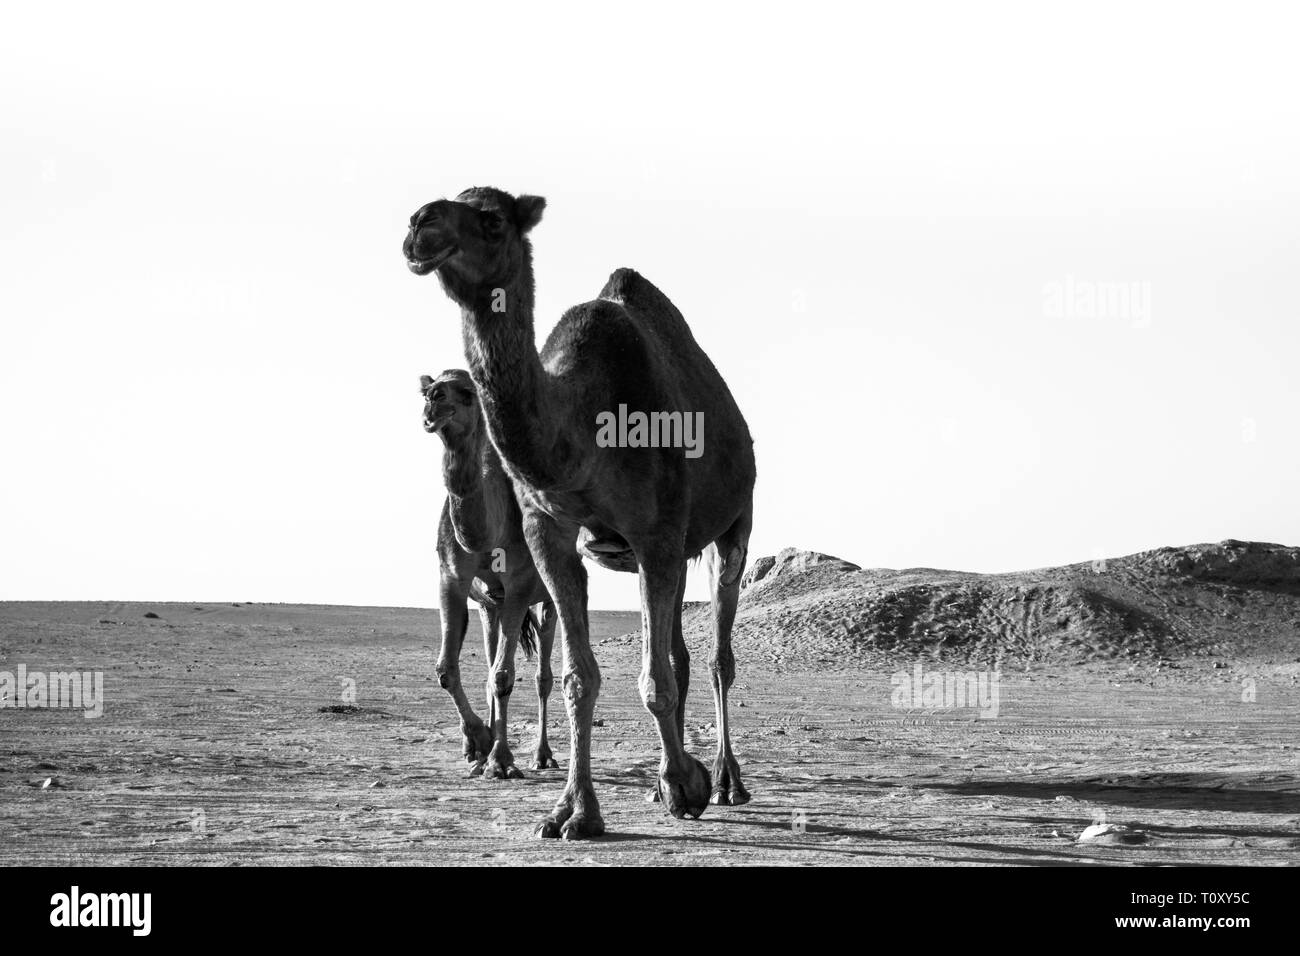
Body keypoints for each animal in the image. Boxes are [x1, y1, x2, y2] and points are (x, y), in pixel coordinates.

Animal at [420, 368, 559, 778]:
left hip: (546, 599)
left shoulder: (519, 586)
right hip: (488, 607)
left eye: (467, 392)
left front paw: (500, 760)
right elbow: (447, 669)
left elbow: (503, 675)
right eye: (428, 389)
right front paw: (477, 743)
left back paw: (542, 754)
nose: (433, 401)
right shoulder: (451, 578)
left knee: (542, 675)